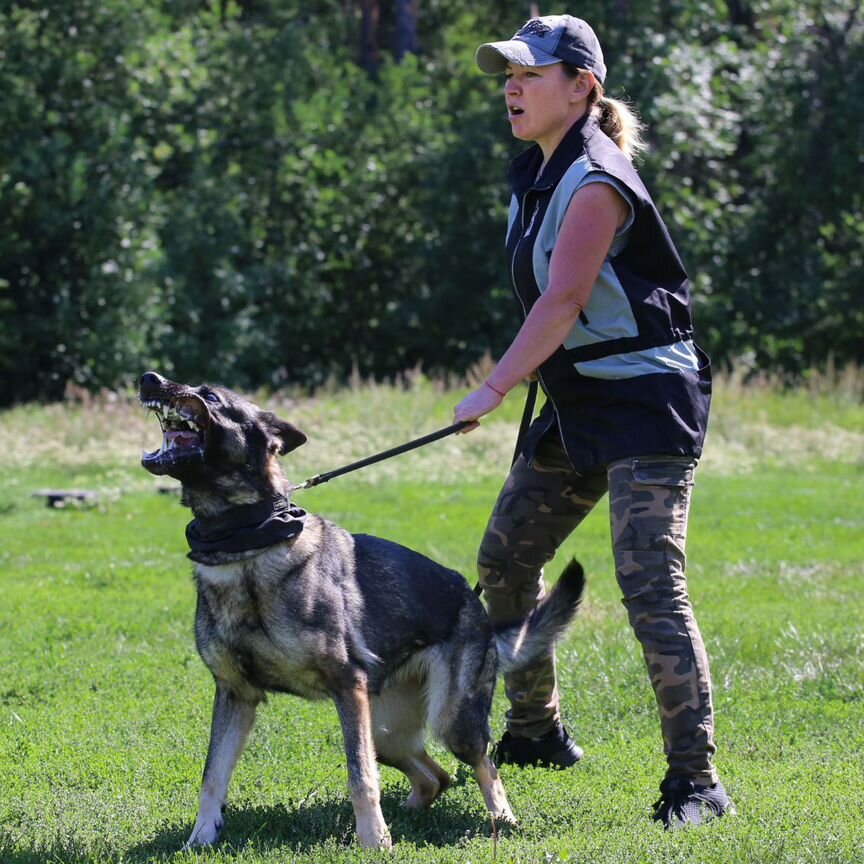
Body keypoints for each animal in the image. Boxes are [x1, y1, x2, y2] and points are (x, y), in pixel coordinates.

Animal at [138, 372, 584, 852]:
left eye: (211, 396)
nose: (149, 378)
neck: (246, 542)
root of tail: (475, 603)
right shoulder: (236, 694)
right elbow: (212, 775)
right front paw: (199, 839)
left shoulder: (345, 686)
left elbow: (359, 777)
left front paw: (372, 840)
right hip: (385, 734)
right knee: (435, 777)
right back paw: (410, 814)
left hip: (448, 723)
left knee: (483, 765)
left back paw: (500, 817)